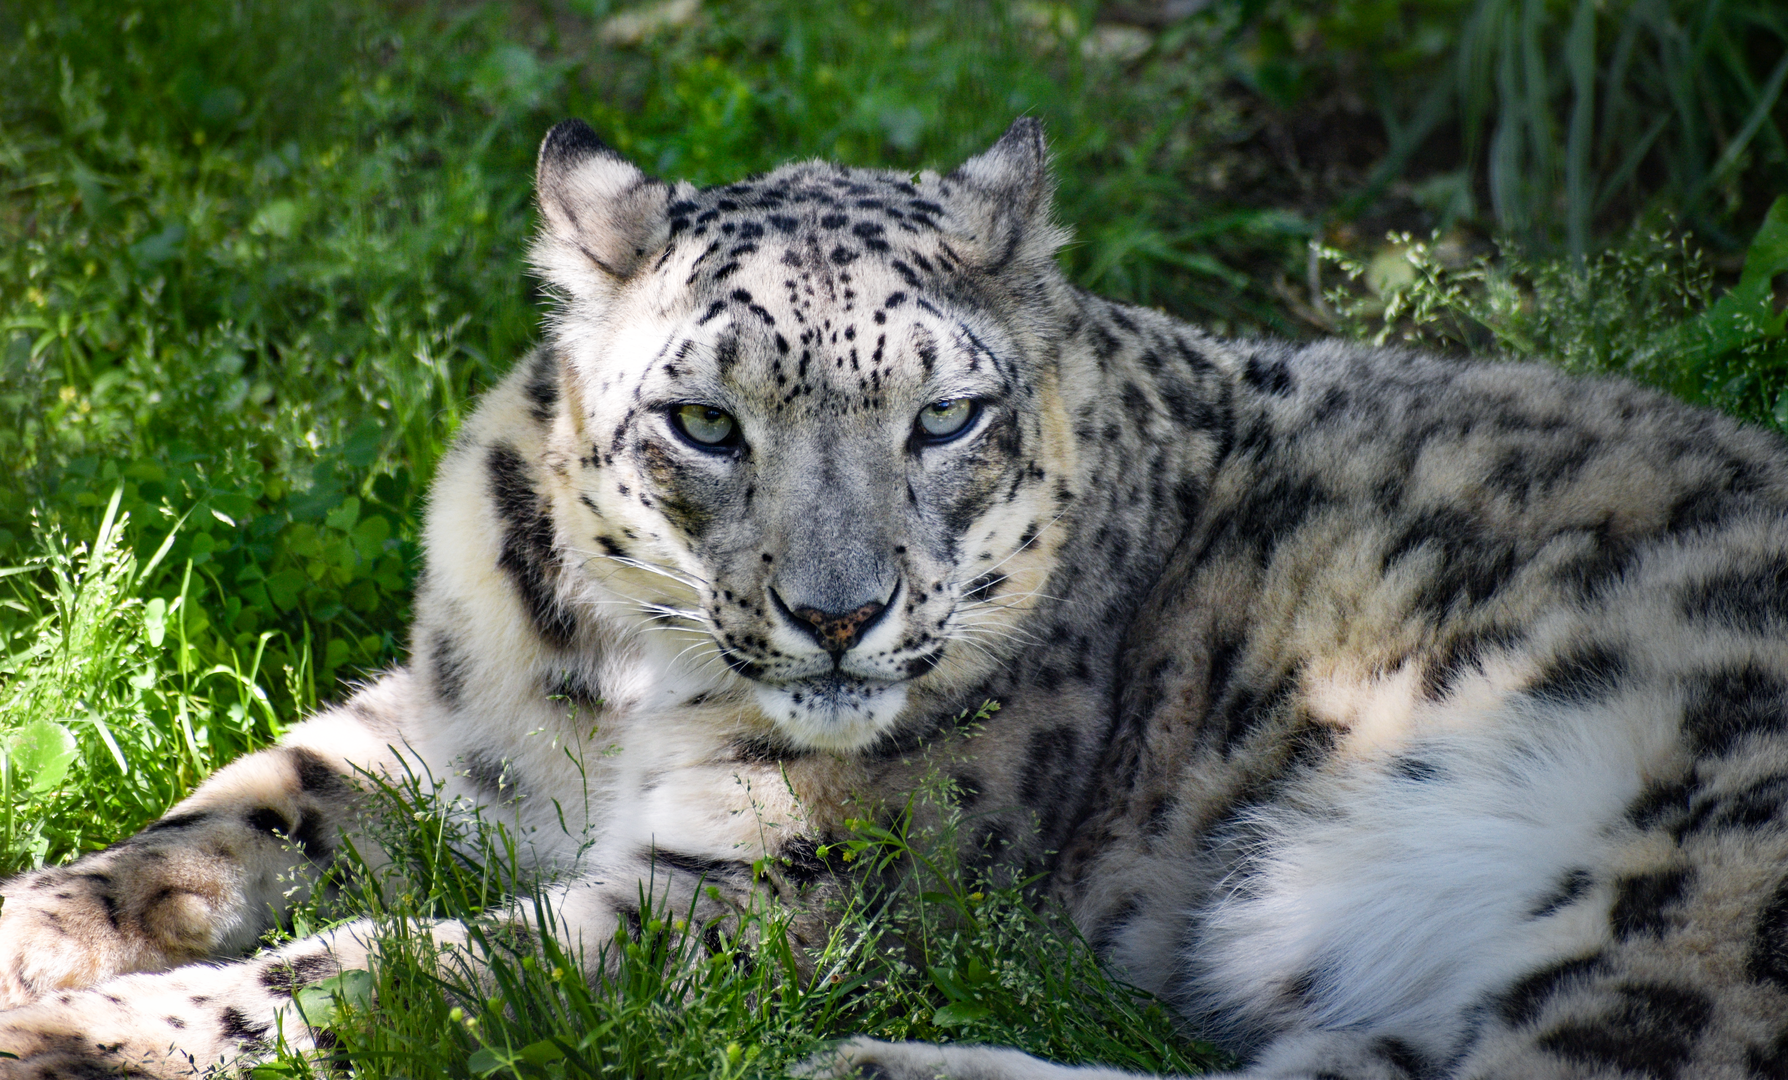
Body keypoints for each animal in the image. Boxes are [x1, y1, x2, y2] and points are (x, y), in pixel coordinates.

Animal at [3, 115, 1788, 1080]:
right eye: (704, 421)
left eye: (944, 418)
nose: (840, 615)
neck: (621, 696)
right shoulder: (449, 733)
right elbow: (243, 811)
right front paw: (43, 931)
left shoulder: (766, 896)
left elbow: (385, 971)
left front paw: (95, 1029)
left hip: (1686, 915)